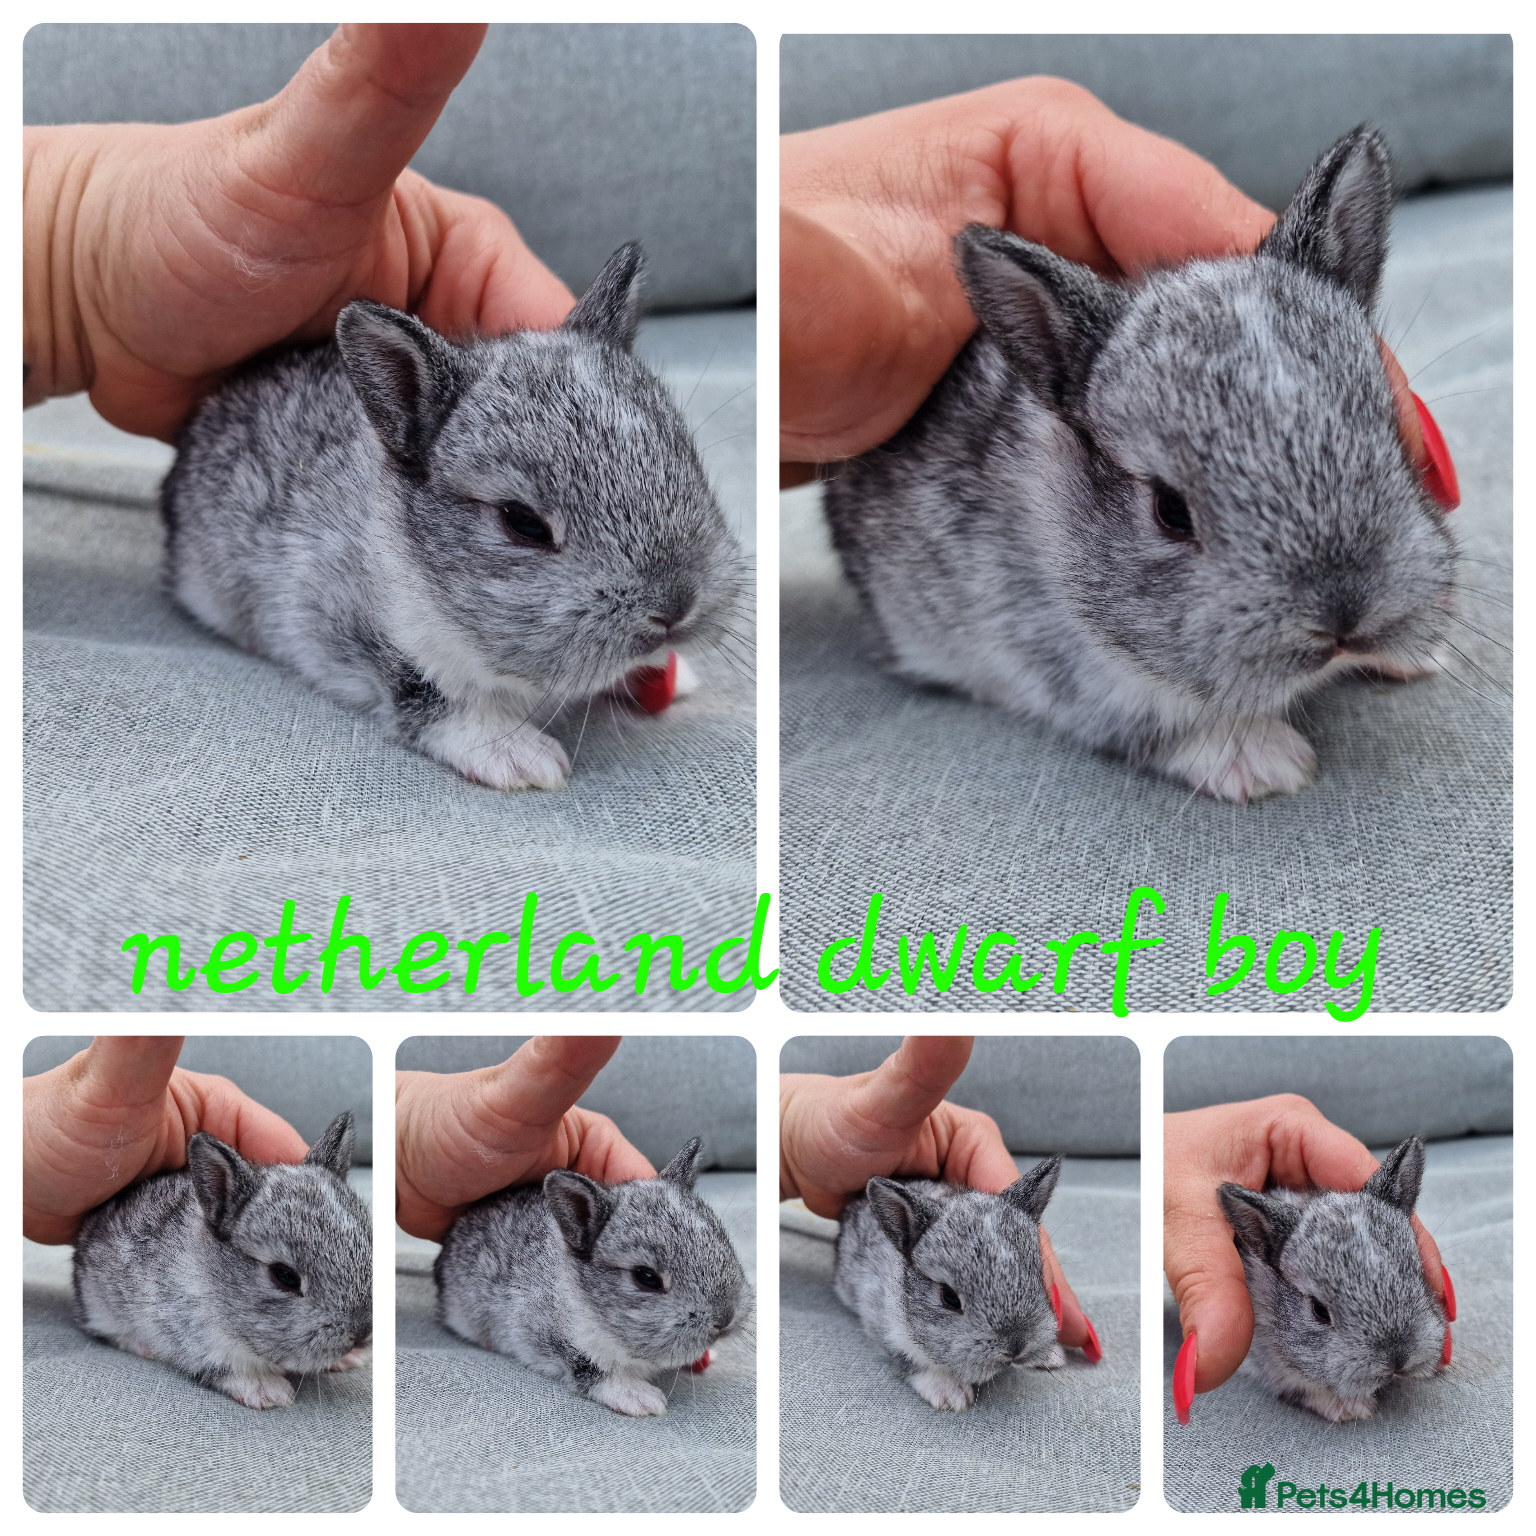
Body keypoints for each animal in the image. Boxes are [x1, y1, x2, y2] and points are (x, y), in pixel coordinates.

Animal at [71, 1111, 372, 1410]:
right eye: (284, 1276)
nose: (362, 1334)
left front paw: (350, 1360)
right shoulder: (197, 1339)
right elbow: (229, 1369)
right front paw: (269, 1392)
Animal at [160, 242, 741, 790]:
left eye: (686, 458)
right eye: (522, 522)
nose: (675, 608)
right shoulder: (339, 622)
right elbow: (425, 693)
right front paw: (521, 758)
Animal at [434, 1136, 750, 1416]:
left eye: (722, 1240)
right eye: (646, 1277)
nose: (725, 1319)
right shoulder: (544, 1335)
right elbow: (589, 1367)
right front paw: (641, 1399)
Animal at [822, 126, 1456, 803]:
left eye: (1398, 441)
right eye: (1169, 511)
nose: (1342, 622)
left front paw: (1421, 657)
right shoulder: (1068, 668)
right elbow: (1165, 728)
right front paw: (1267, 764)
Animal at [833, 1156, 1063, 1411]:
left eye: (1039, 1275)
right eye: (949, 1297)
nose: (1015, 1348)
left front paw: (1054, 1355)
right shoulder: (880, 1320)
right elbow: (910, 1359)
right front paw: (951, 1394)